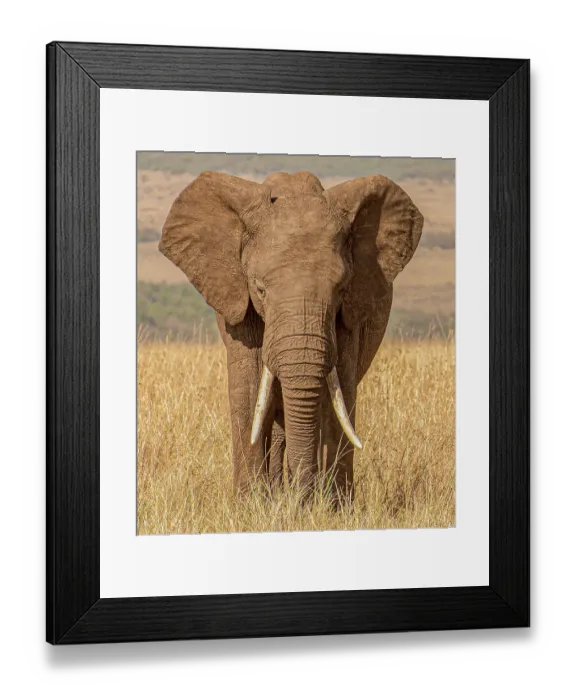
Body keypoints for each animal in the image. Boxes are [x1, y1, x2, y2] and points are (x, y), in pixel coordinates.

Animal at [159, 170, 423, 501]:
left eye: (341, 290)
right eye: (260, 289)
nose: (300, 495)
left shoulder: (351, 310)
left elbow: (339, 392)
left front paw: (329, 507)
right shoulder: (237, 300)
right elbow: (249, 389)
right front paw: (252, 505)